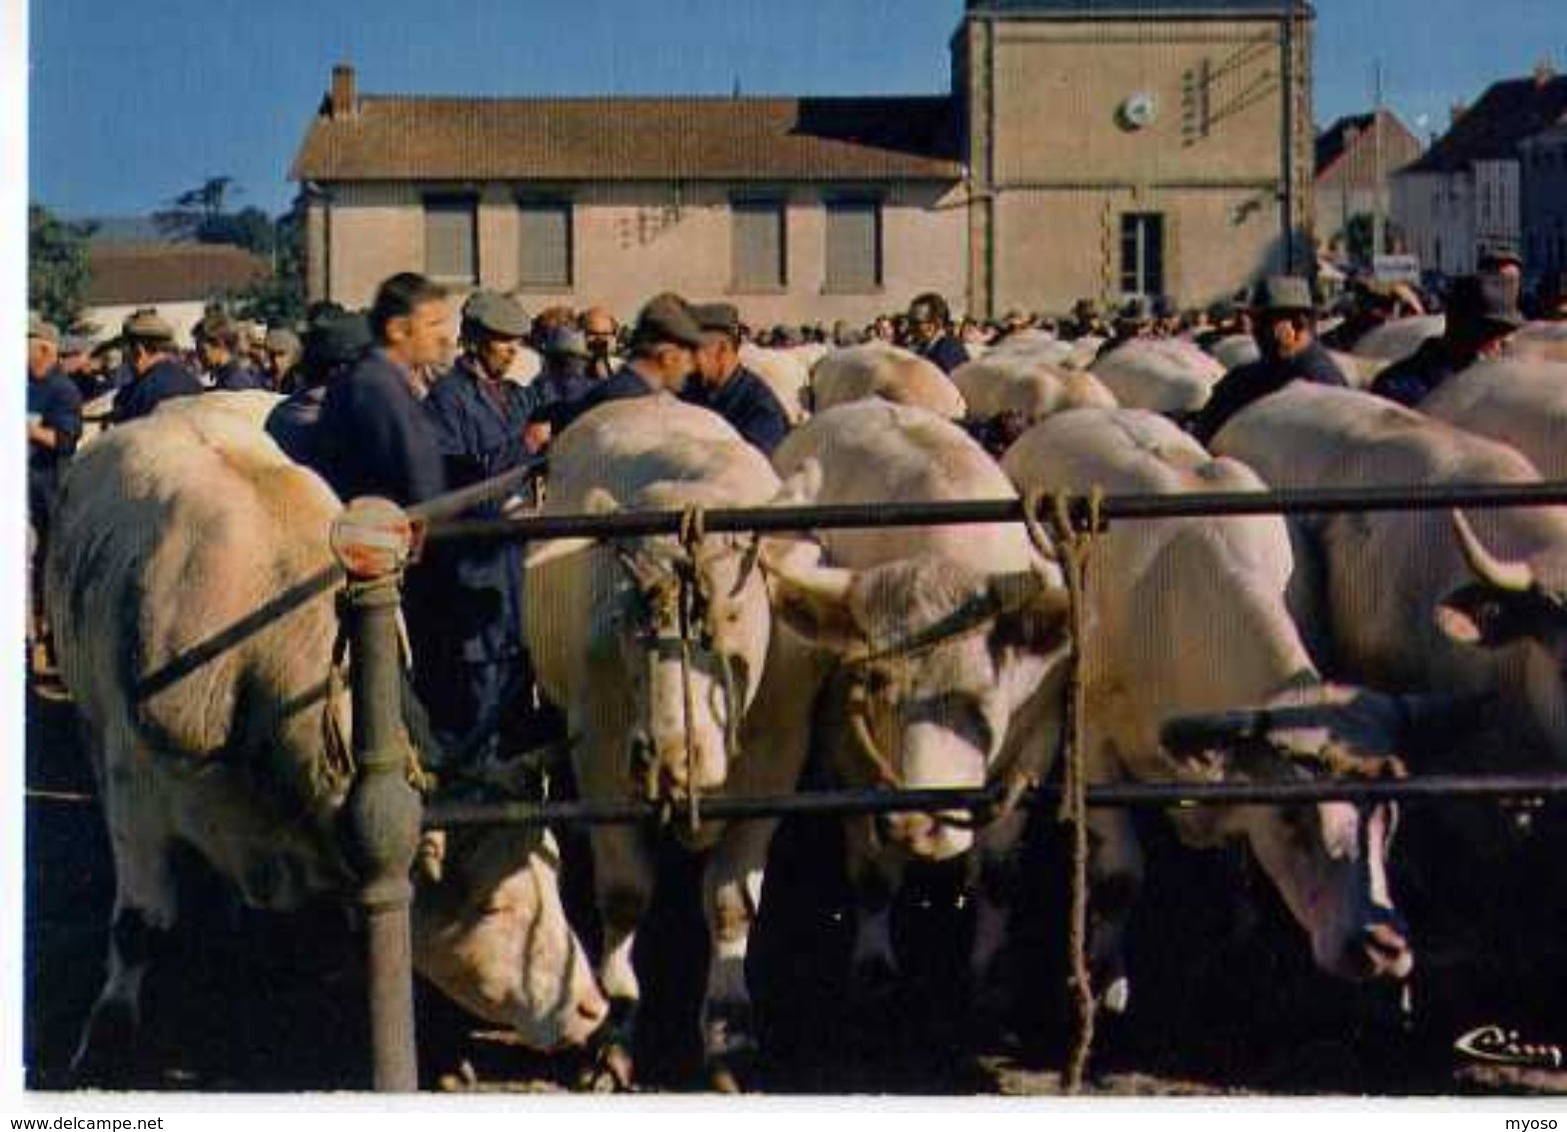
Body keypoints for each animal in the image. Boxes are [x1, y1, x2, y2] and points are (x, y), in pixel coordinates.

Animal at [48, 396, 604, 1078]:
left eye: (555, 879)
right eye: (492, 906)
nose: (591, 1008)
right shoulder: (137, 789)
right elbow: (139, 926)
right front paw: (105, 1036)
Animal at [526, 395, 821, 1084]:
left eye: (731, 616)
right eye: (623, 619)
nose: (668, 758)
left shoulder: (778, 762)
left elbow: (732, 898)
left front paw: (728, 1026)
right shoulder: (601, 753)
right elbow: (625, 892)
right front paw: (617, 1017)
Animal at [767, 401, 1078, 990]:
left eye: (982, 693)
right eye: (875, 682)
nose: (919, 823)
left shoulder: (1037, 744)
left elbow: (998, 872)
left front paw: (989, 966)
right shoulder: (848, 754)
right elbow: (872, 876)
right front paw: (873, 965)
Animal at [1002, 407, 1422, 997]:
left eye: (1390, 813)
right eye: (1292, 815)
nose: (1381, 947)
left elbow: (1238, 862)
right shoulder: (1094, 741)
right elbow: (1120, 876)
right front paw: (1106, 978)